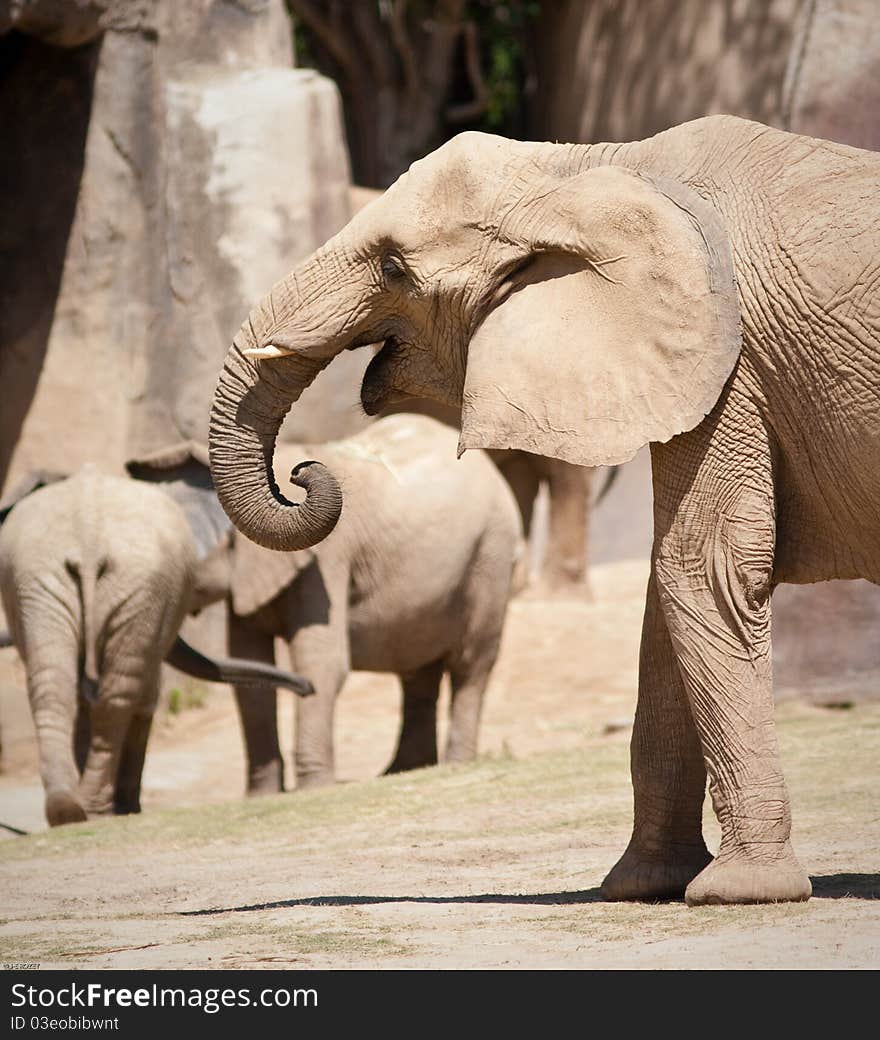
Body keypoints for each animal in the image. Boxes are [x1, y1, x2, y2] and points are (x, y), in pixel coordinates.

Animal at [135, 411, 526, 786]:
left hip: (491, 554)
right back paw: (402, 770)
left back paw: (454, 764)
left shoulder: (325, 560)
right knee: (417, 670)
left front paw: (313, 787)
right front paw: (261, 795)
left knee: (471, 664)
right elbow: (249, 666)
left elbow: (320, 661)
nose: (303, 690)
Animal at [208, 118, 880, 906]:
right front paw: (640, 884)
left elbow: (702, 564)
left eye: (393, 269)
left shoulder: (732, 355)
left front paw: (738, 891)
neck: (587, 169)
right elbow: (668, 592)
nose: (303, 472)